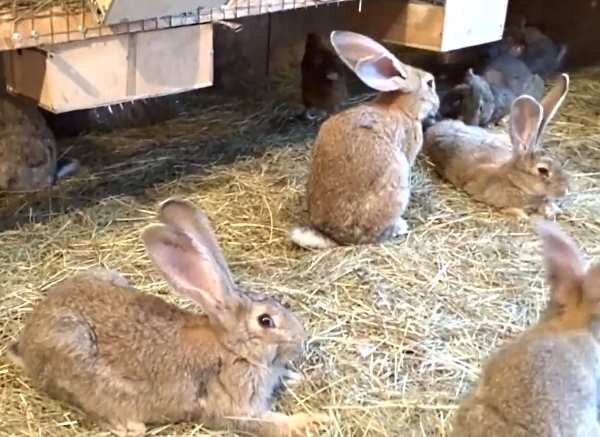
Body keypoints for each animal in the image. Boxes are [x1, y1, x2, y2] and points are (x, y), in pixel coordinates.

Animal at [7, 198, 328, 436]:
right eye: (266, 321)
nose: (301, 340)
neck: (231, 348)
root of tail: (26, 344)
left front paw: (294, 377)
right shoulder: (233, 409)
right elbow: (267, 424)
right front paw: (311, 420)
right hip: (72, 348)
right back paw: (128, 426)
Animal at [288, 30, 438, 249]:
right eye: (430, 83)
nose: (437, 103)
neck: (400, 108)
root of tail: (333, 237)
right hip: (397, 181)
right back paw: (400, 226)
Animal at [424, 74, 568, 221]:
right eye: (543, 170)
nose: (565, 191)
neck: (513, 180)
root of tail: (435, 129)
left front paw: (553, 211)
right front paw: (522, 215)